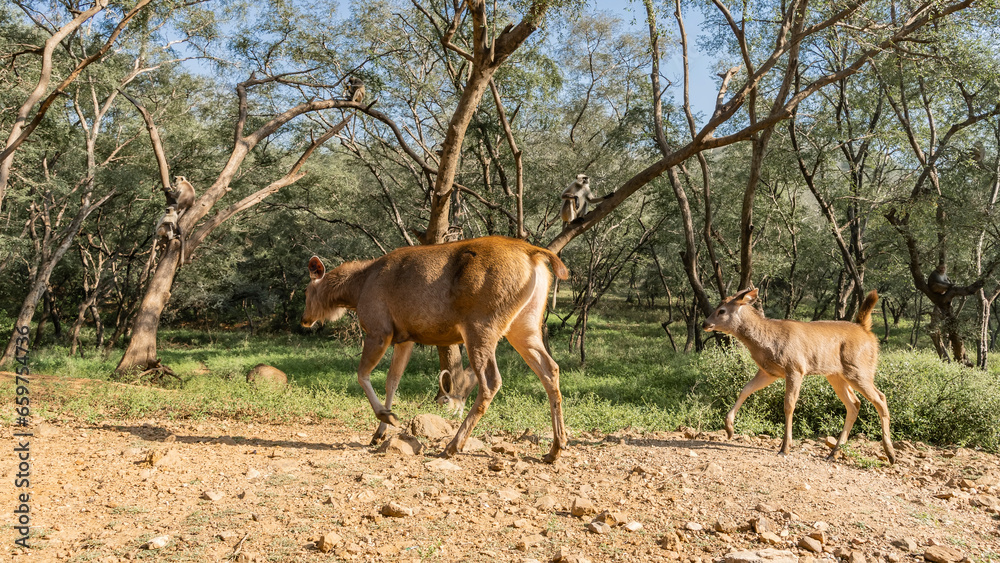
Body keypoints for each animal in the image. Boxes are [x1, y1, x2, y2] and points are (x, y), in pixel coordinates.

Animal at [301, 236, 570, 462]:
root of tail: (534, 254)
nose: (304, 319)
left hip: (481, 325)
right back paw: (555, 448)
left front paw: (387, 417)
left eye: (306, 291)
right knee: (551, 369)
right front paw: (379, 431)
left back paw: (452, 445)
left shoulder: (379, 330)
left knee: (491, 381)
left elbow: (362, 374)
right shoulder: (405, 338)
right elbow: (392, 380)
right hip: (525, 325)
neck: (356, 290)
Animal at [702, 288, 896, 464]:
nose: (705, 323)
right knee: (855, 404)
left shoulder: (795, 367)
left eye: (722, 310)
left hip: (859, 369)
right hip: (836, 375)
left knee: (880, 398)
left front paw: (785, 448)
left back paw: (890, 454)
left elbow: (789, 404)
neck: (766, 342)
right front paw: (729, 428)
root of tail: (866, 331)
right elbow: (746, 389)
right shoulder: (769, 372)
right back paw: (834, 453)